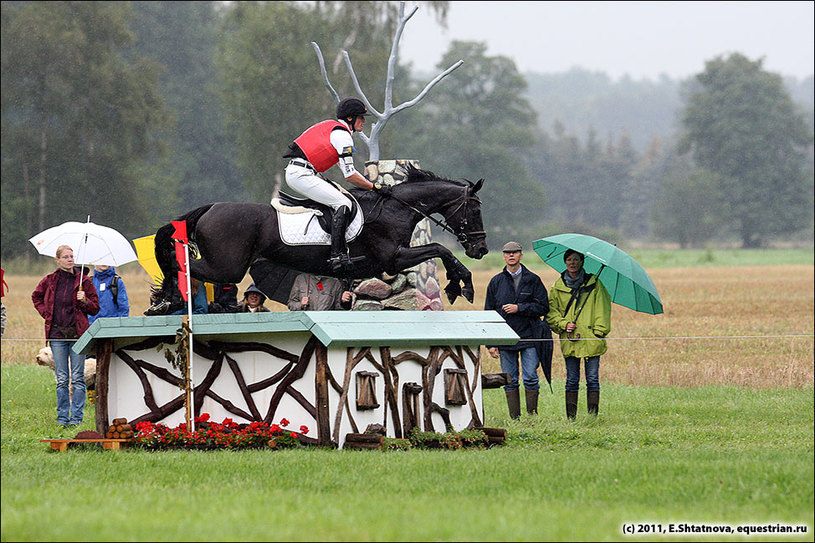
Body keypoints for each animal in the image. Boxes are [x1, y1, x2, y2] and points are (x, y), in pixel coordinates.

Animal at [151, 166, 488, 310]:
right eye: (475, 209)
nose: (481, 249)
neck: (395, 208)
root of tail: (211, 207)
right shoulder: (392, 258)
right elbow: (441, 248)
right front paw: (462, 286)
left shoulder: (391, 261)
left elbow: (440, 250)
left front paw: (460, 285)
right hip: (227, 267)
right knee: (181, 265)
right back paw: (168, 297)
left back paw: (165, 298)